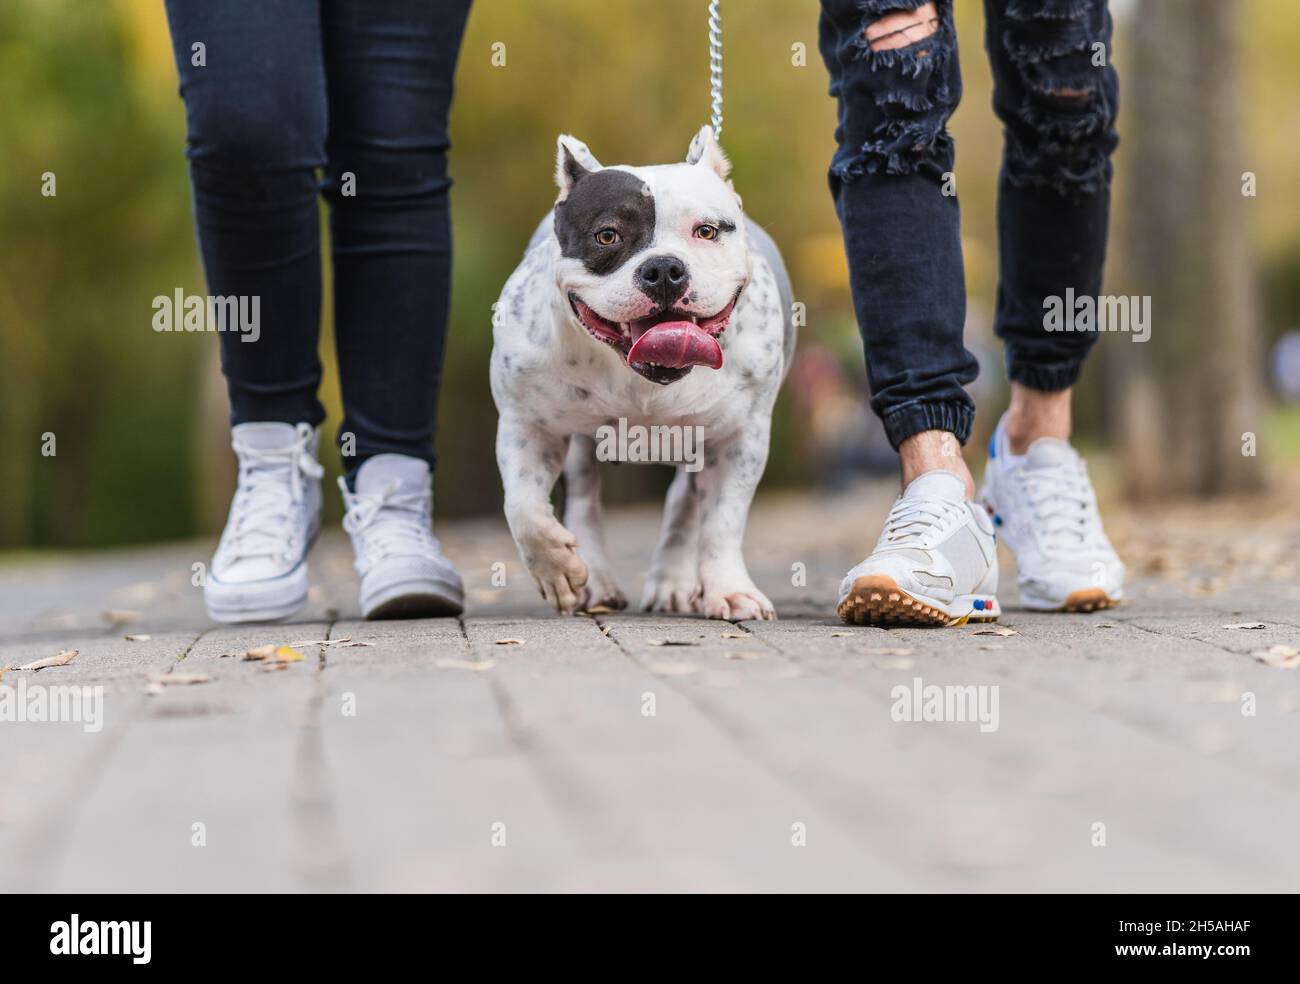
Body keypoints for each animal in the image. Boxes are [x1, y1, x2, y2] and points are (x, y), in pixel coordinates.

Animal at [488, 126, 790, 618]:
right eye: (607, 236)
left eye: (707, 231)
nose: (664, 268)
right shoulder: (527, 425)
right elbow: (524, 508)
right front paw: (557, 568)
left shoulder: (739, 439)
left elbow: (723, 521)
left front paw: (728, 590)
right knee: (584, 498)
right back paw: (595, 580)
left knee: (685, 503)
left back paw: (671, 583)